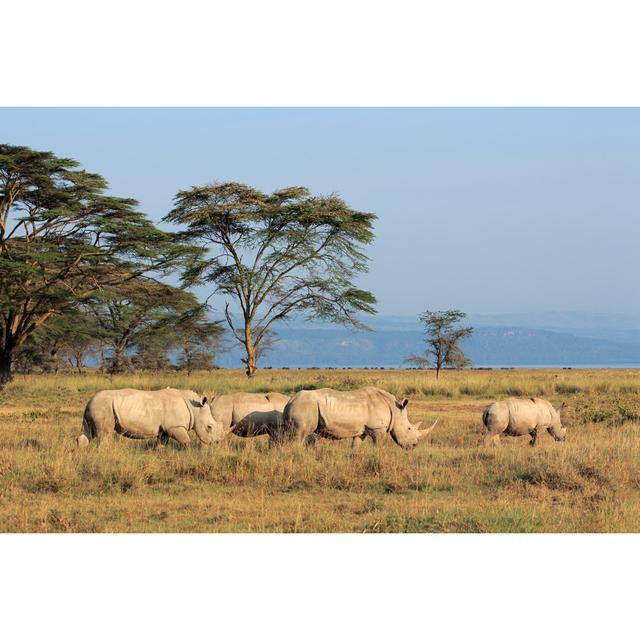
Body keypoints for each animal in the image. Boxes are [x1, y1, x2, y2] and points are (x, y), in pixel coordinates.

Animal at [77, 388, 225, 448]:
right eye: (209, 427)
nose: (216, 443)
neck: (195, 410)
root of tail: (90, 401)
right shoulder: (175, 426)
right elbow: (186, 441)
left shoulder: (165, 429)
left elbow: (161, 444)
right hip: (104, 407)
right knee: (104, 434)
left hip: (95, 407)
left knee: (88, 433)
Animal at [282, 384, 438, 450]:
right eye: (409, 428)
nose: (414, 446)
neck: (395, 409)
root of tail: (290, 401)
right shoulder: (378, 428)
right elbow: (378, 445)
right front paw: (377, 456)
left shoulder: (361, 431)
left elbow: (355, 446)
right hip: (305, 408)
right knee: (299, 436)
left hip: (299, 408)